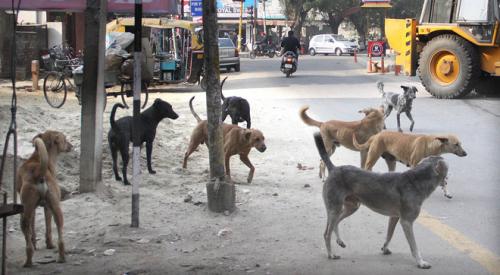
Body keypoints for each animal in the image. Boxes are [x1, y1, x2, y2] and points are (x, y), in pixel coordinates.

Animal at [16, 130, 73, 268]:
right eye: (65, 139)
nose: (72, 145)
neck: (37, 158)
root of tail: (38, 172)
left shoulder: (37, 209)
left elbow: (36, 229)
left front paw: (40, 243)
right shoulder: (45, 207)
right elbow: (46, 228)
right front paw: (45, 244)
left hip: (26, 212)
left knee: (28, 238)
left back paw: (29, 261)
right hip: (56, 210)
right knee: (60, 236)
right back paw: (61, 257)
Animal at [312, 132, 450, 270]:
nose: (447, 180)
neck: (417, 179)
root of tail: (334, 169)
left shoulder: (394, 217)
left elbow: (389, 234)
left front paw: (385, 248)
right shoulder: (407, 222)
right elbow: (414, 246)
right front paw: (420, 262)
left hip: (351, 206)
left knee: (336, 222)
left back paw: (339, 241)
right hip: (334, 208)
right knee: (327, 233)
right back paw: (331, 254)